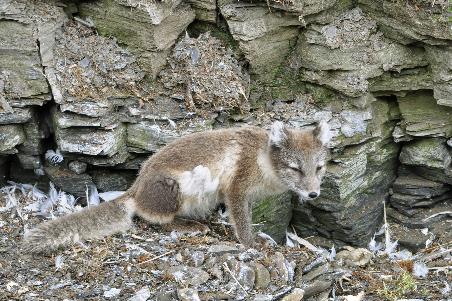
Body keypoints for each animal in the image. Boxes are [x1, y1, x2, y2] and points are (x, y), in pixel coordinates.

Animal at [23, 120, 330, 252]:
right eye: (295, 168)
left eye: (318, 168)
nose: (313, 193)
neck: (262, 159)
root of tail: (135, 188)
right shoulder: (236, 188)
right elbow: (242, 223)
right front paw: (251, 244)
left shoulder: (247, 197)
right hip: (175, 187)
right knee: (156, 220)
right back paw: (190, 226)